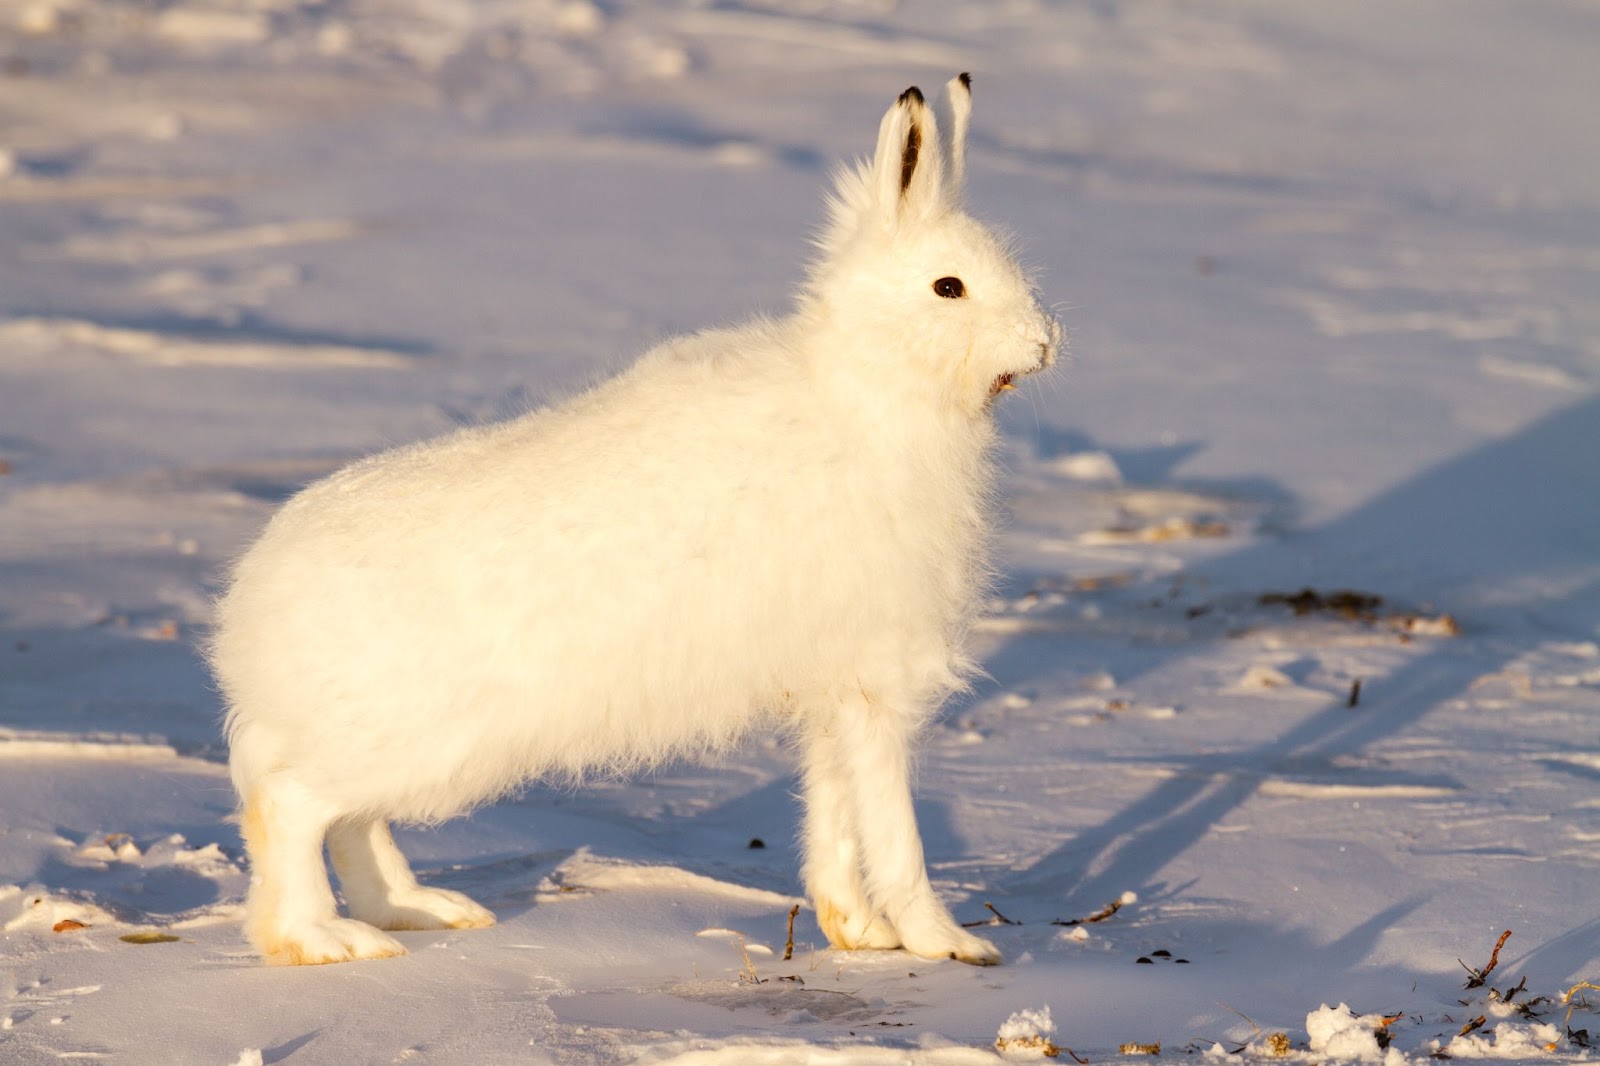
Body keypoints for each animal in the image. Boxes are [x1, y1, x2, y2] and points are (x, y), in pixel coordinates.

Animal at [211, 73, 1061, 968]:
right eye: (948, 287)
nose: (1045, 342)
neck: (873, 388)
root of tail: (248, 621)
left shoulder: (835, 687)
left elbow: (833, 812)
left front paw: (858, 932)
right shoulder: (876, 680)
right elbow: (895, 829)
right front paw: (950, 944)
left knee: (348, 824)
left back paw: (420, 911)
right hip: (414, 740)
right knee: (287, 804)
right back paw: (324, 940)